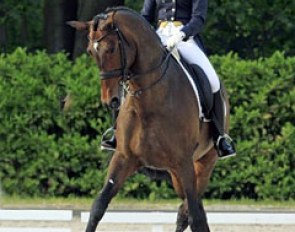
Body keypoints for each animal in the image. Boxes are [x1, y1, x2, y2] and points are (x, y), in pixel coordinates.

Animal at [68, 6, 230, 231]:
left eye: (111, 49)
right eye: (91, 52)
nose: (110, 101)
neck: (148, 102)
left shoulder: (183, 162)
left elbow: (194, 217)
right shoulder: (124, 158)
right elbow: (98, 206)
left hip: (203, 162)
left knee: (190, 211)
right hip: (176, 173)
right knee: (190, 209)